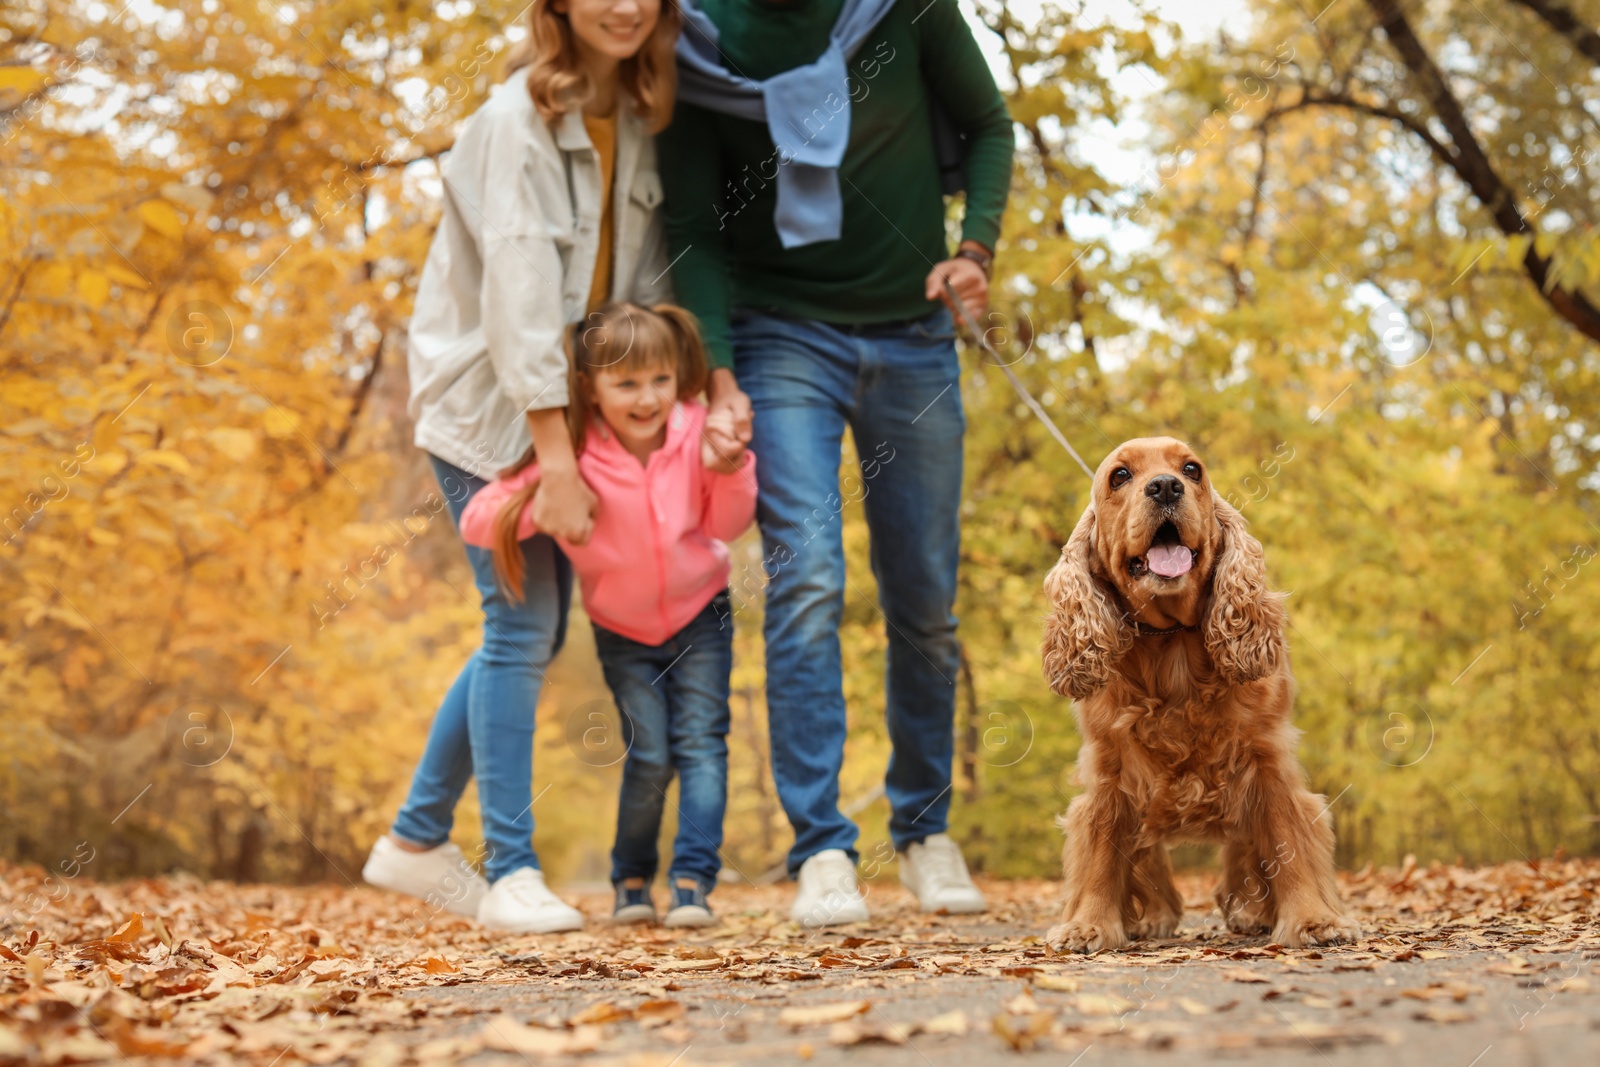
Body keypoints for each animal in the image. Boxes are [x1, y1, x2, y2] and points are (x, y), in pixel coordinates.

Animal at [1036, 438, 1363, 953]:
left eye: (1192, 470)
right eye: (1119, 476)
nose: (1166, 486)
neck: (1172, 644)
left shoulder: (1268, 757)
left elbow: (1288, 840)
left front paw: (1314, 920)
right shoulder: (1110, 769)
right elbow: (1102, 852)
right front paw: (1089, 925)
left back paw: (1251, 913)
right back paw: (1155, 917)